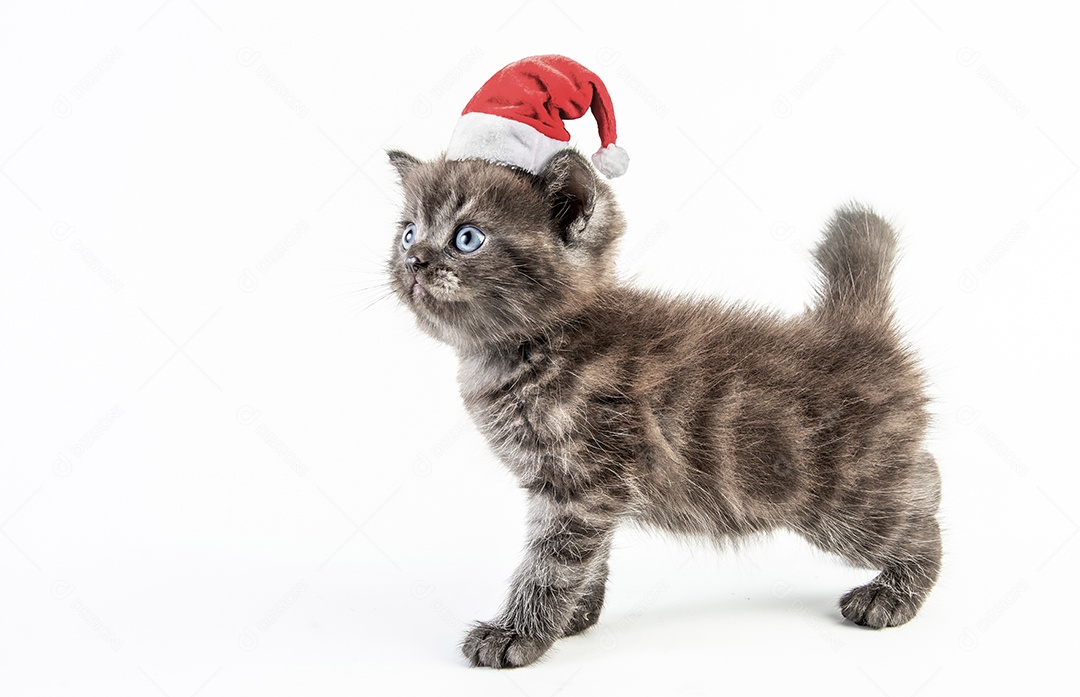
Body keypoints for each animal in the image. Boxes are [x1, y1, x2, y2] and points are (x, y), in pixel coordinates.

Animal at [386, 146, 937, 669]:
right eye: (408, 233)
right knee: (925, 472)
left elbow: (553, 563)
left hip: (837, 502)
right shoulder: (576, 486)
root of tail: (855, 329)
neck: (526, 350)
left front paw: (517, 634)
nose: (414, 261)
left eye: (468, 238)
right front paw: (575, 617)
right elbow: (587, 556)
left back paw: (892, 593)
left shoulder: (583, 483)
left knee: (918, 519)